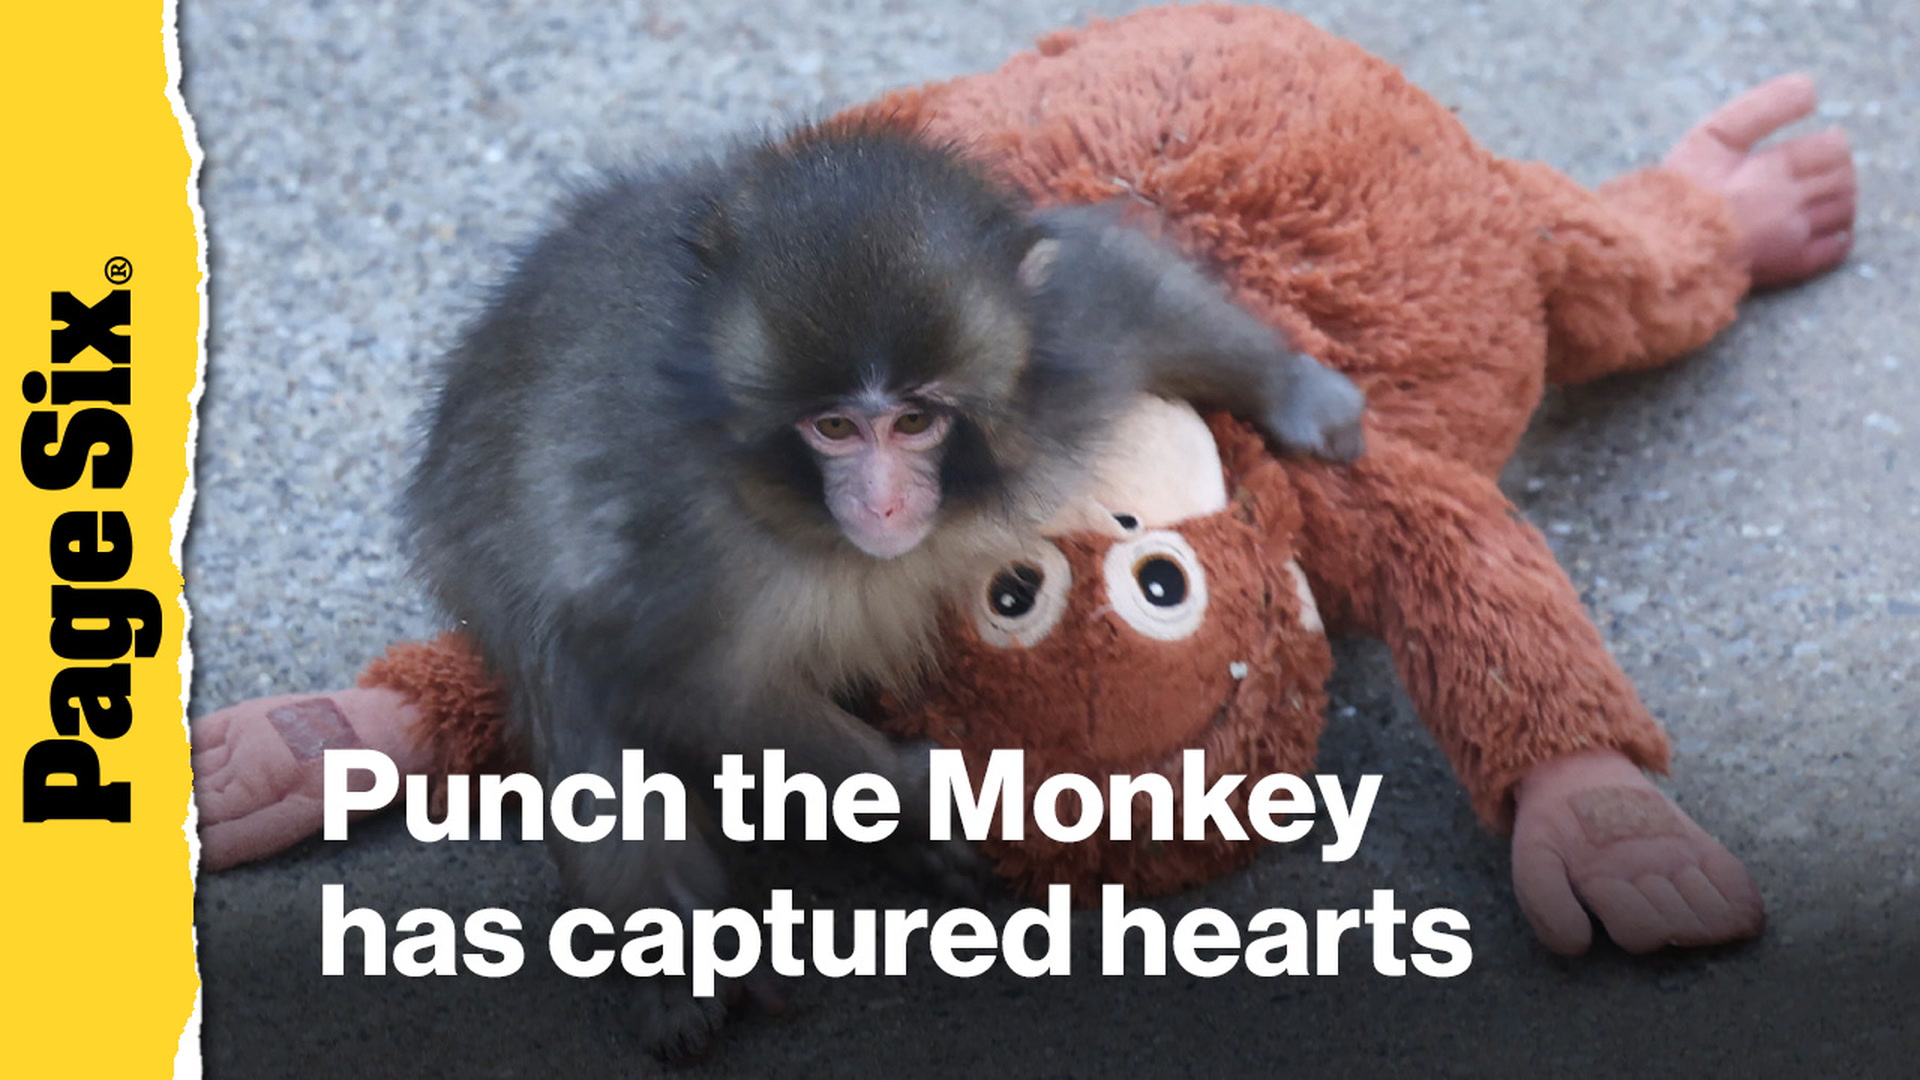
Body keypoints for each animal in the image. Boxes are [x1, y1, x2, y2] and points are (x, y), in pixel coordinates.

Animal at [402, 123, 1363, 1055]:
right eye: (833, 427)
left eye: (913, 420)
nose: (884, 501)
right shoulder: (678, 538)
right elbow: (681, 683)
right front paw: (915, 793)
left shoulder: (1061, 355)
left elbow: (1120, 282)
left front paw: (1298, 392)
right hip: (471, 544)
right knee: (567, 684)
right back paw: (676, 959)